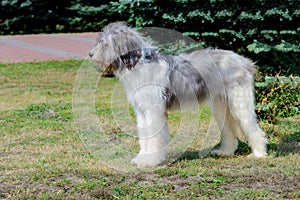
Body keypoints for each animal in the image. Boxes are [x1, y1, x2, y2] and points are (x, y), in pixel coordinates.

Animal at [88, 21, 268, 167]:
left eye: (105, 43)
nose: (90, 54)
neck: (138, 64)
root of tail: (243, 60)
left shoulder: (154, 111)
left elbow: (154, 137)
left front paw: (150, 161)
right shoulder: (141, 111)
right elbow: (145, 137)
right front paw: (142, 158)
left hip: (240, 101)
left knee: (253, 128)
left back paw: (259, 154)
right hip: (220, 105)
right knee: (229, 130)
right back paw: (225, 152)